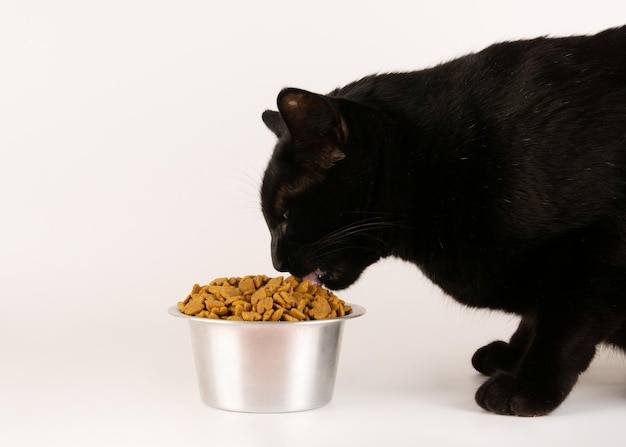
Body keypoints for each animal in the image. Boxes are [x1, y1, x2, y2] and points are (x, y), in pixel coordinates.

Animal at [260, 24, 624, 416]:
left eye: (284, 216)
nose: (276, 261)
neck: (437, 161)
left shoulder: (599, 248)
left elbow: (561, 330)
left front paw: (527, 388)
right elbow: (535, 317)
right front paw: (512, 357)